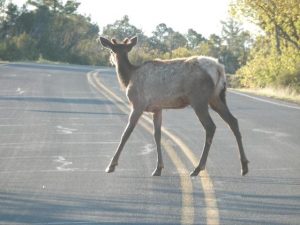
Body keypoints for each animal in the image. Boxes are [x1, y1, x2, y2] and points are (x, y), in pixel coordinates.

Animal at [98, 35, 248, 176]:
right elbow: (157, 135)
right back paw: (244, 166)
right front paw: (158, 168)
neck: (129, 78)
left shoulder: (138, 104)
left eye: (111, 50)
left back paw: (197, 168)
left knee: (211, 127)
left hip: (199, 99)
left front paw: (111, 166)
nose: (111, 60)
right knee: (233, 121)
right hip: (217, 97)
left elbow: (126, 133)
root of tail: (219, 69)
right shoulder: (157, 108)